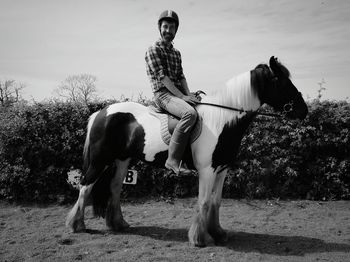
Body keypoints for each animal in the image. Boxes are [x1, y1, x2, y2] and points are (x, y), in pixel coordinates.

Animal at [65, 56, 306, 247]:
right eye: (283, 82)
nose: (303, 110)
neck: (221, 121)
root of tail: (101, 112)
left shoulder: (222, 169)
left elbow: (216, 202)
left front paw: (218, 233)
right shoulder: (207, 170)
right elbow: (204, 202)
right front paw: (200, 238)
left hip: (122, 160)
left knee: (114, 188)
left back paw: (119, 224)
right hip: (100, 160)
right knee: (85, 186)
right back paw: (76, 225)